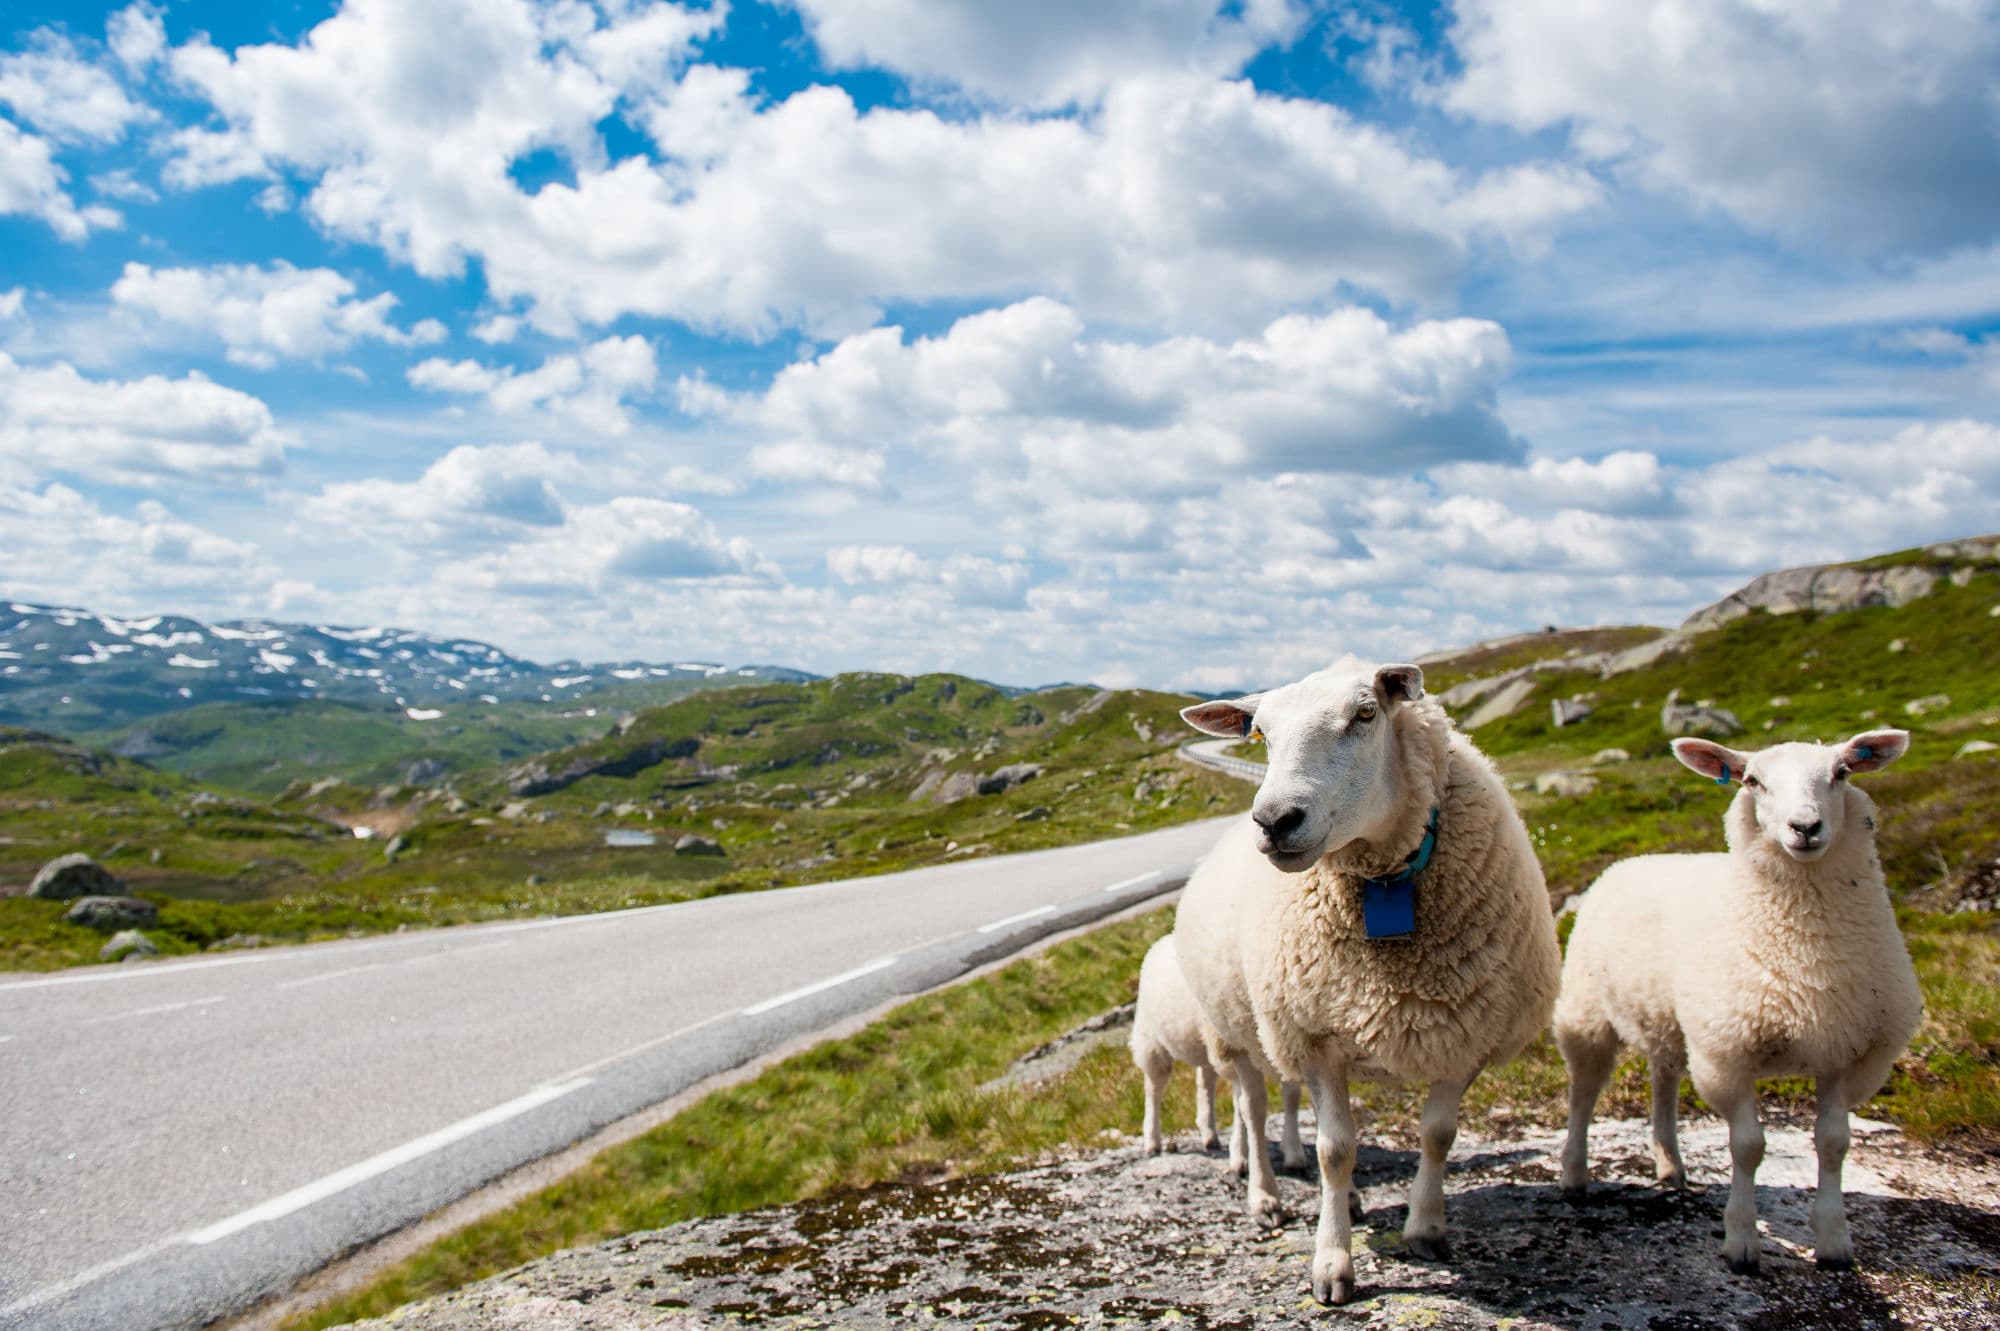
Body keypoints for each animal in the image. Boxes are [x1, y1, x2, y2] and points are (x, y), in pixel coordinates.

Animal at [1130, 933, 1308, 1173]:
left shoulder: (1286, 1048)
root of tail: (1159, 942)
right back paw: (1152, 1140)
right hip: (1153, 1042)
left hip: (1204, 1045)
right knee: (1153, 1091)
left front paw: (1293, 1152)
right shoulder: (1232, 1051)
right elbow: (1242, 1104)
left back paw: (1208, 1132)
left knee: (1204, 1081)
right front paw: (1241, 1155)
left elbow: (1292, 1097)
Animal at [1176, 660, 1560, 1305]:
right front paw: (1332, 1264)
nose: (1274, 821)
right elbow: (1336, 1150)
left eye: (1365, 713)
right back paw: (1265, 1195)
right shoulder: (1316, 1035)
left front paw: (1425, 1229)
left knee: (1288, 1100)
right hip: (1241, 1031)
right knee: (1253, 1109)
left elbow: (1438, 1135)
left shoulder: (1468, 1033)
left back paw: (1344, 1196)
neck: (1385, 883)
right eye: (1260, 734)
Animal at [1554, 730, 1923, 1274]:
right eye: (1752, 781)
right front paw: (1742, 1241)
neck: (1807, 954)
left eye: (1842, 773)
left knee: (1664, 1078)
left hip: (1667, 1017)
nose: (1805, 827)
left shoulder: (1846, 1053)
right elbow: (1748, 1147)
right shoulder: (1728, 1054)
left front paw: (1834, 1240)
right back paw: (1574, 1174)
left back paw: (1669, 1163)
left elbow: (1834, 1144)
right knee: (1584, 1091)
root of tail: (1633, 861)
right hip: (1589, 1012)